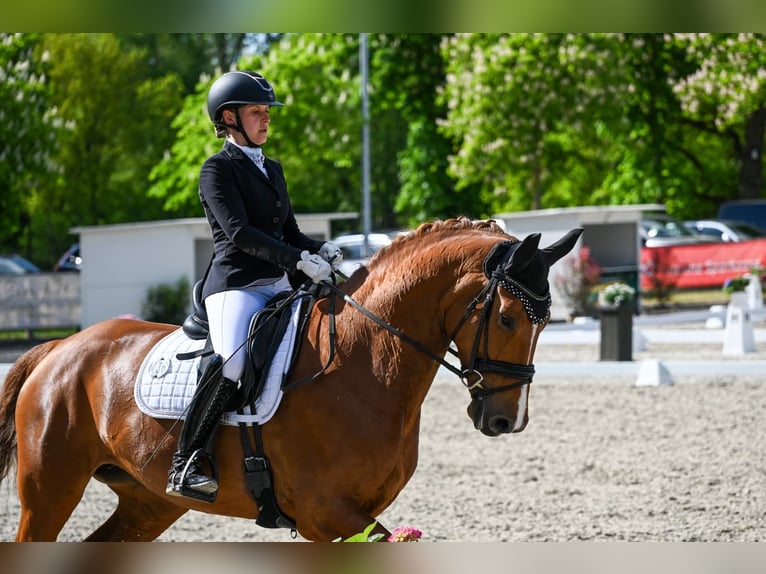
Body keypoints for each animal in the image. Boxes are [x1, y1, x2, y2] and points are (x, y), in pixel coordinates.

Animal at [0, 217, 581, 542]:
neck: (366, 360)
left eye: (545, 321)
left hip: (149, 500)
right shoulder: (327, 515)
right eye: (507, 318)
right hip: (49, 492)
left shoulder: (351, 515)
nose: (507, 419)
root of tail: (59, 349)